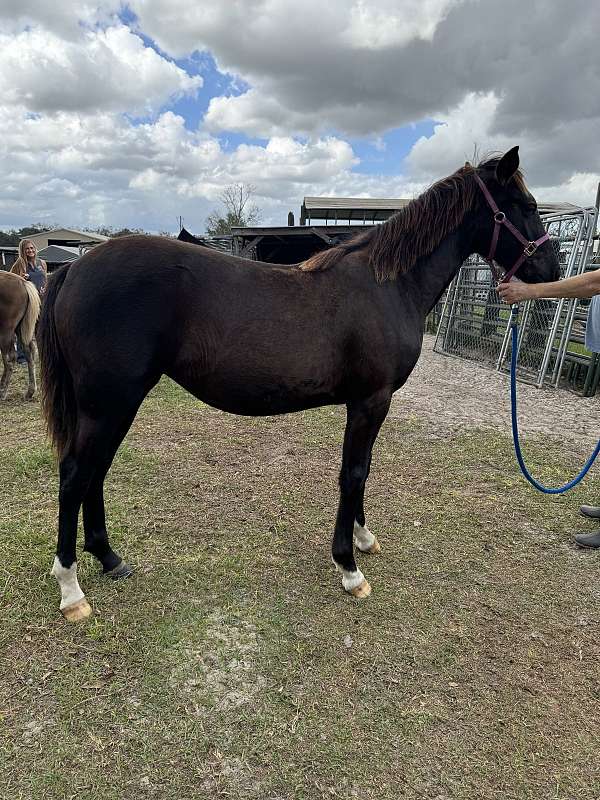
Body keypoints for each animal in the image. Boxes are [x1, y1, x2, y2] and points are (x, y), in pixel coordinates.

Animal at [0, 272, 40, 400]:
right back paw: (30, 391)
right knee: (29, 352)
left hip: (6, 332)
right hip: (19, 330)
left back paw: (3, 392)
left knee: (10, 360)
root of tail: (23, 283)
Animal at [39, 150, 560, 624]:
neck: (387, 286)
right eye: (526, 205)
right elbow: (353, 474)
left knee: (96, 473)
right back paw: (71, 589)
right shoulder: (371, 401)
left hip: (114, 404)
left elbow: (363, 470)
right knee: (75, 475)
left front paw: (363, 540)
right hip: (108, 403)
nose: (552, 271)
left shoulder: (368, 404)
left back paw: (109, 559)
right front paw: (349, 568)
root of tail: (73, 269)